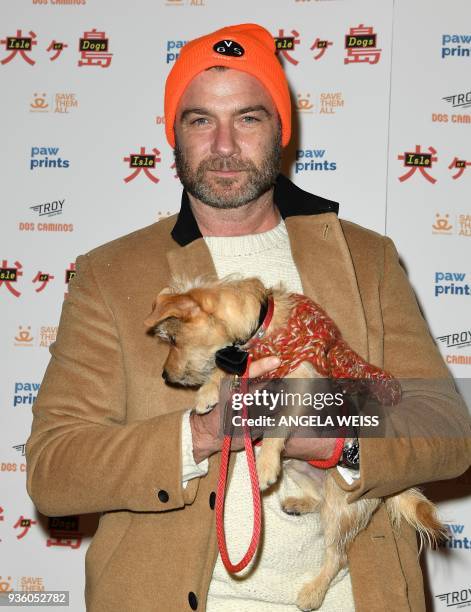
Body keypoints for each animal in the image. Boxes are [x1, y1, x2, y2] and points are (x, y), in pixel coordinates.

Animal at [145, 278, 446, 612]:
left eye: (173, 339)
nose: (165, 375)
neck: (263, 328)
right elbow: (223, 373)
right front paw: (207, 393)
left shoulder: (300, 382)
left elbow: (277, 425)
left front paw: (264, 463)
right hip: (297, 468)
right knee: (317, 500)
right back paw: (299, 503)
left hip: (340, 505)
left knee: (337, 555)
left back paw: (313, 591)